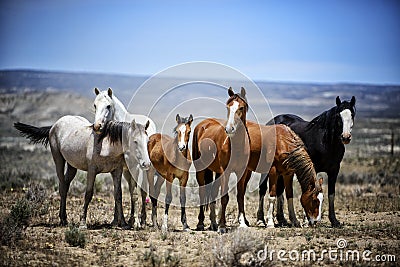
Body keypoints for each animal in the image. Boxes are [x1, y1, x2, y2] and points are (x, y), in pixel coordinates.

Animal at [14, 116, 152, 229]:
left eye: (147, 141)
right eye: (135, 141)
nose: (146, 164)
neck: (105, 144)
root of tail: (54, 125)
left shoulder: (116, 171)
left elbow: (118, 195)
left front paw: (123, 223)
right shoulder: (92, 171)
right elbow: (88, 194)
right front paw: (82, 223)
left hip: (72, 166)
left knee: (66, 184)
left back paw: (64, 218)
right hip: (58, 159)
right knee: (62, 187)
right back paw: (63, 220)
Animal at [93, 88, 157, 226]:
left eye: (108, 106)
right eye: (95, 105)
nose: (97, 126)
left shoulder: (135, 167)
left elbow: (135, 194)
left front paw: (137, 222)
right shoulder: (120, 169)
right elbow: (119, 192)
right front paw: (116, 221)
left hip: (146, 170)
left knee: (144, 191)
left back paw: (145, 220)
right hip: (128, 172)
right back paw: (133, 218)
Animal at [191, 87, 250, 233]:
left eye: (241, 107)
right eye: (228, 107)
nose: (229, 129)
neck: (236, 145)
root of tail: (203, 124)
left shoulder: (242, 172)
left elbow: (240, 196)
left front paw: (242, 223)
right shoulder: (226, 172)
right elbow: (224, 197)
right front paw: (222, 226)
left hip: (216, 171)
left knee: (212, 193)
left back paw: (213, 223)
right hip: (201, 169)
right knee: (202, 192)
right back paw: (201, 223)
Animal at [260, 96, 356, 228]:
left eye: (352, 114)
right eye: (338, 116)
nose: (345, 137)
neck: (325, 143)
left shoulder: (334, 170)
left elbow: (331, 194)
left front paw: (334, 220)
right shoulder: (313, 167)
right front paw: (306, 220)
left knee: (279, 190)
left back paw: (282, 219)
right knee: (262, 189)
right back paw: (261, 219)